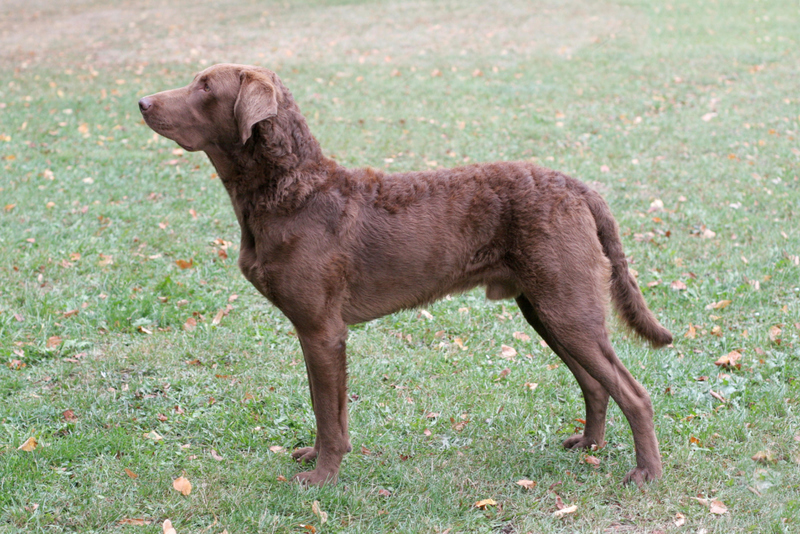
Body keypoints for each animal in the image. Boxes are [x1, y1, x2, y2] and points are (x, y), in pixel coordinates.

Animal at [141, 63, 672, 490]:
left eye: (205, 86)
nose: (142, 102)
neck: (291, 191)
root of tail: (579, 187)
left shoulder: (321, 329)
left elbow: (327, 412)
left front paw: (322, 477)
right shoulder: (318, 333)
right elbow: (325, 407)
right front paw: (317, 458)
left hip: (566, 305)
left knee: (634, 392)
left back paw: (647, 473)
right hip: (546, 306)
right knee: (596, 384)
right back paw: (589, 446)